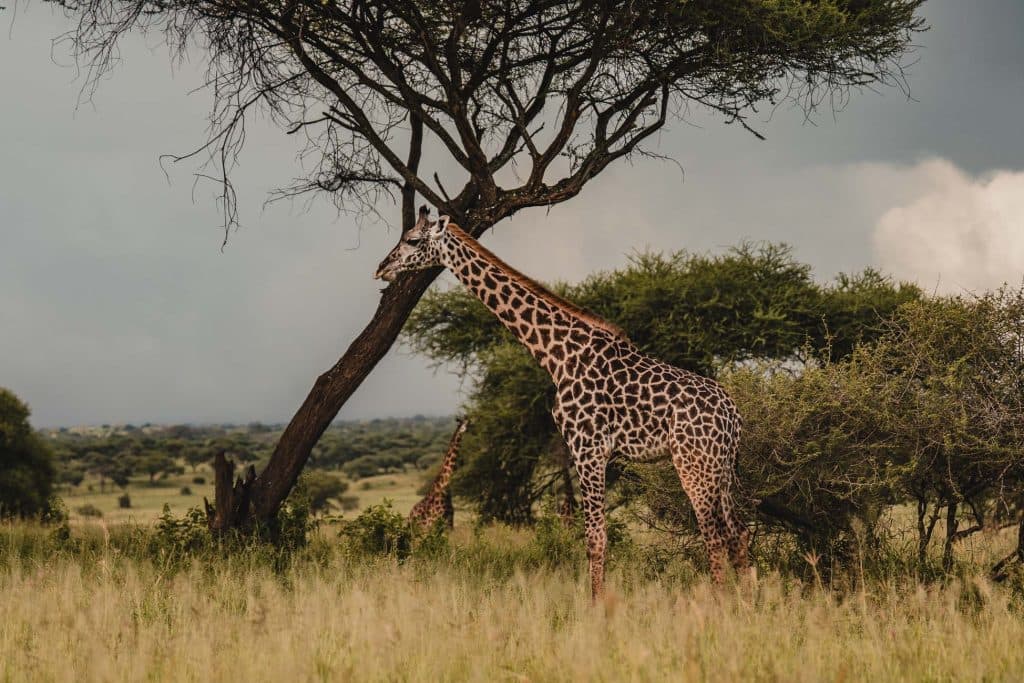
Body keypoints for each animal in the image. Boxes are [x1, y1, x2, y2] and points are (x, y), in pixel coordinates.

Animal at [376, 207, 749, 596]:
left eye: (412, 240)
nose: (382, 267)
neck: (557, 356)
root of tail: (733, 415)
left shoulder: (588, 449)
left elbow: (595, 539)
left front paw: (596, 606)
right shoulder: (589, 452)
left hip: (694, 464)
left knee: (714, 536)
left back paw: (719, 603)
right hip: (722, 466)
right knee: (738, 532)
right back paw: (746, 604)